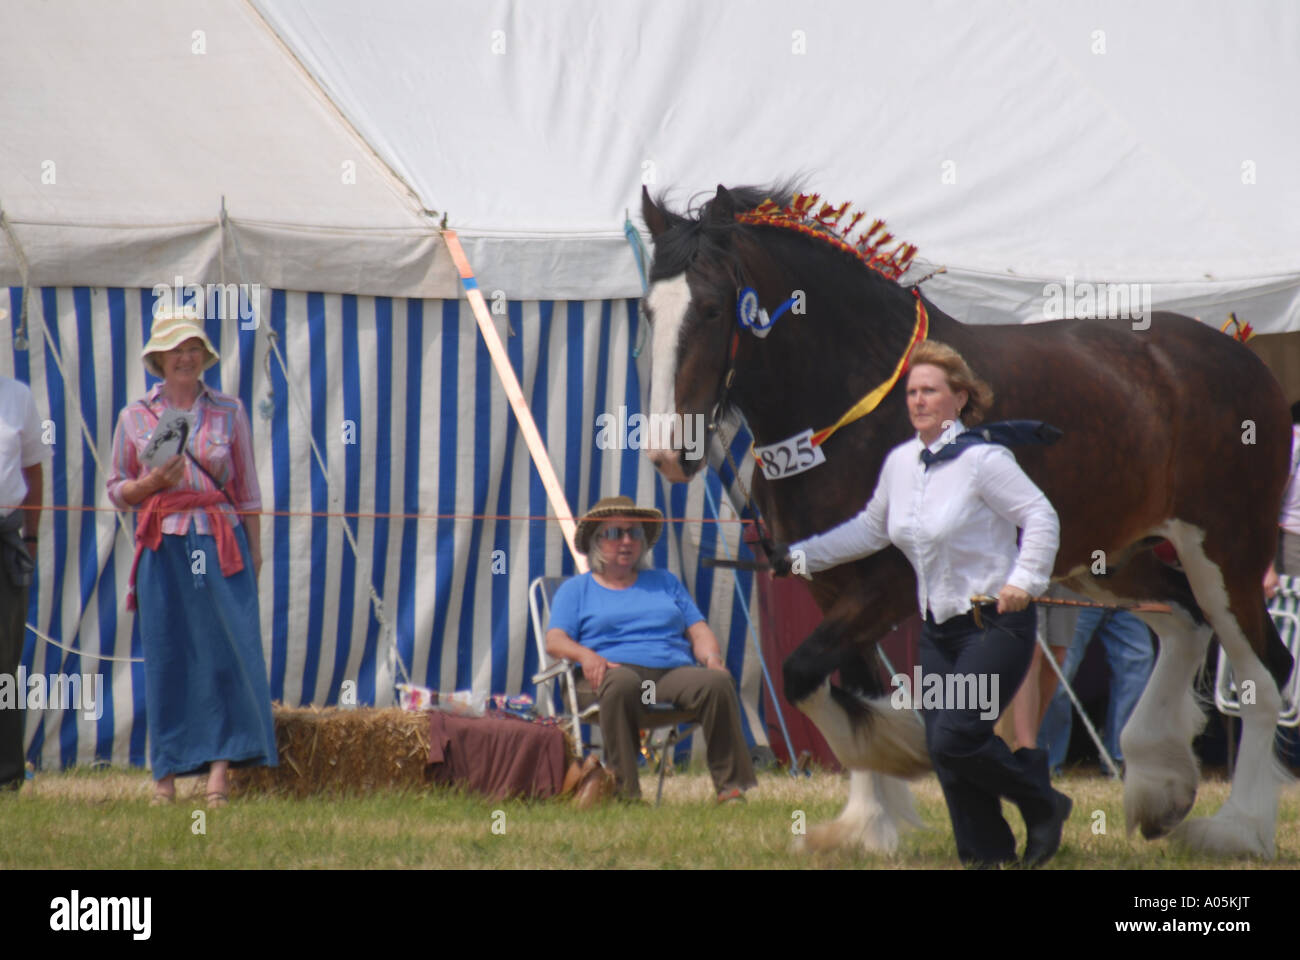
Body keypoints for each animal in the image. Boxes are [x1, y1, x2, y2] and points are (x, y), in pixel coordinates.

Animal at [644, 183, 1294, 858]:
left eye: (712, 309)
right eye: (646, 311)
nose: (669, 452)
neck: (852, 406)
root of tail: (1242, 356)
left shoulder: (890, 586)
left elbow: (806, 674)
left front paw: (905, 752)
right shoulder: (829, 585)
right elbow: (845, 686)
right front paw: (867, 825)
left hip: (1226, 552)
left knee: (1263, 671)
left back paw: (1237, 828)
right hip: (1108, 560)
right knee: (1186, 622)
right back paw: (1159, 784)